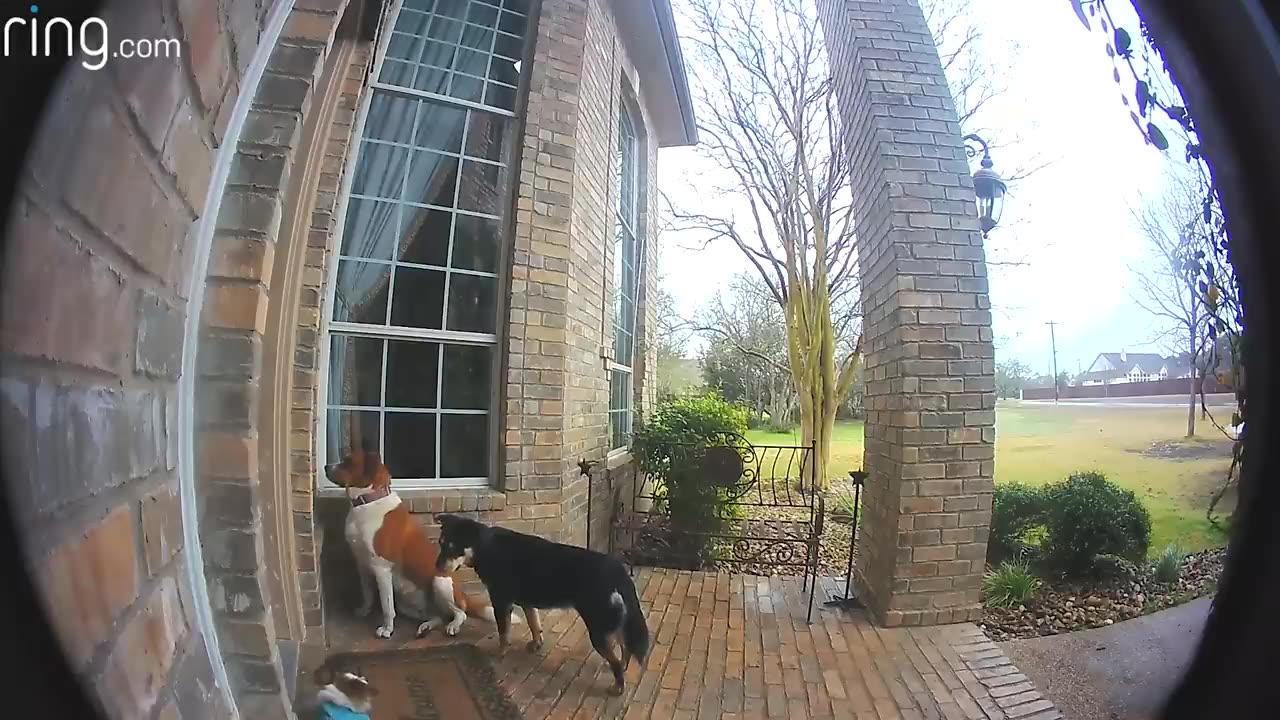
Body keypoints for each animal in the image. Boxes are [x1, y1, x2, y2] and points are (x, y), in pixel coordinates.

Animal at [320, 448, 509, 638]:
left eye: (349, 463)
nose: (326, 467)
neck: (370, 501)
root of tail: (463, 595)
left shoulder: (381, 569)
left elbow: (387, 607)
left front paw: (387, 629)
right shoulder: (362, 564)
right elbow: (367, 594)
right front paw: (364, 611)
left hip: (440, 583)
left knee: (460, 613)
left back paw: (453, 626)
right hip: (409, 605)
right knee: (438, 616)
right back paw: (426, 626)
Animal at [435, 512, 650, 691]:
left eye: (452, 547)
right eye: (440, 543)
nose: (436, 567)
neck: (485, 546)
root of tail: (617, 570)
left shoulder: (501, 601)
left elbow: (504, 632)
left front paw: (501, 652)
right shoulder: (527, 603)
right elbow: (534, 624)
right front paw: (536, 644)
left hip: (598, 629)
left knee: (616, 657)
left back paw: (618, 686)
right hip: (610, 623)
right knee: (626, 646)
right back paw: (624, 668)